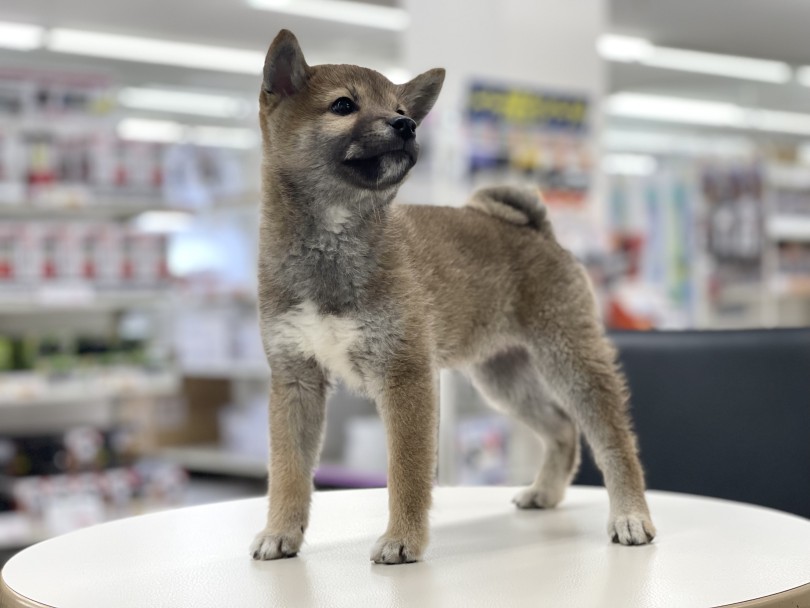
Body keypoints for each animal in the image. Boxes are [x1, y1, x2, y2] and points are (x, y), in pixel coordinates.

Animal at [249, 29, 652, 564]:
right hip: (503, 377)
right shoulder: (295, 379)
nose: (406, 126)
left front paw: (402, 539)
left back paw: (630, 515)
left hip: (570, 359)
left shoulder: (406, 376)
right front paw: (281, 531)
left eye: (401, 108)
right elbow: (288, 471)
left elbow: (406, 472)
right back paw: (545, 492)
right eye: (343, 105)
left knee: (613, 441)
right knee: (562, 428)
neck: (331, 245)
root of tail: (538, 231)